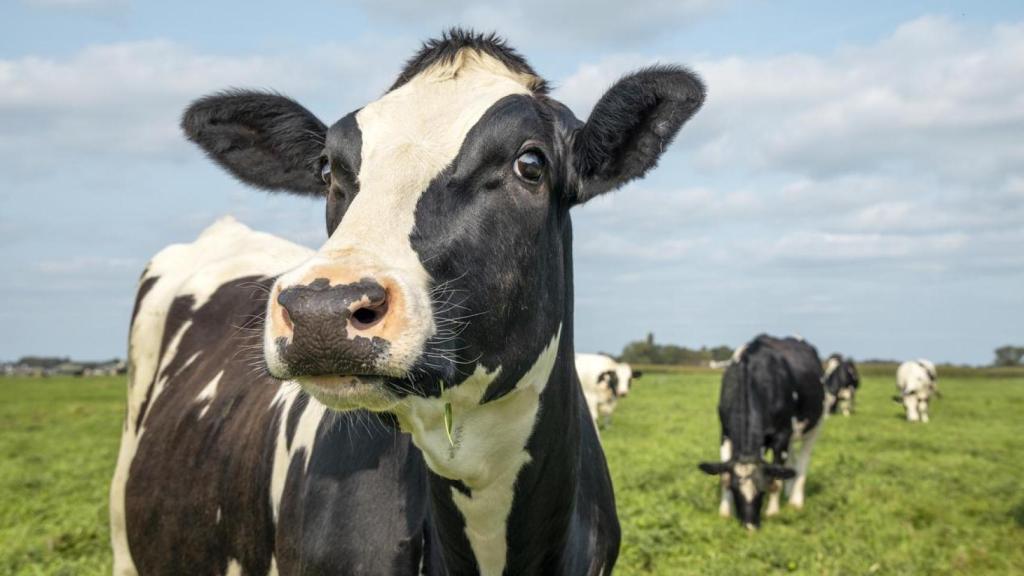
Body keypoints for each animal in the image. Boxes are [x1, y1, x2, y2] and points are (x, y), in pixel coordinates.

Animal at [698, 334, 825, 530]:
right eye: (735, 489)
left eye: (762, 490)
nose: (750, 527)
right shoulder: (725, 433)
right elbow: (724, 475)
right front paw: (725, 513)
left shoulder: (781, 436)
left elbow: (776, 478)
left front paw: (772, 512)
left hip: (814, 426)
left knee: (803, 461)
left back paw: (795, 501)